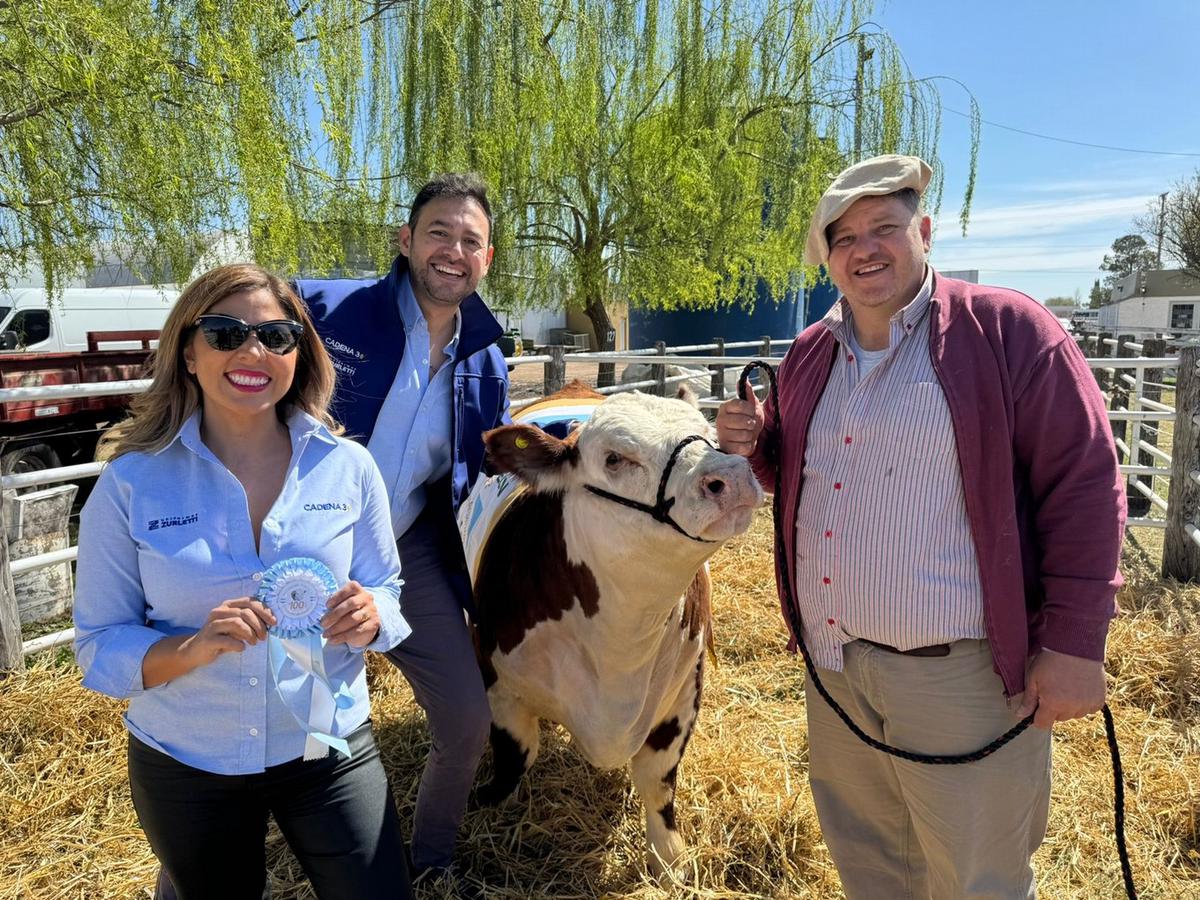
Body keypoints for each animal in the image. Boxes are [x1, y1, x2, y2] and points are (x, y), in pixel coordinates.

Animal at [463, 381, 763, 873]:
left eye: (712, 437)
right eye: (615, 458)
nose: (731, 475)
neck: (622, 643)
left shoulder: (684, 692)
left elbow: (657, 781)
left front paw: (670, 862)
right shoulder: (496, 684)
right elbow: (515, 756)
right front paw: (492, 810)